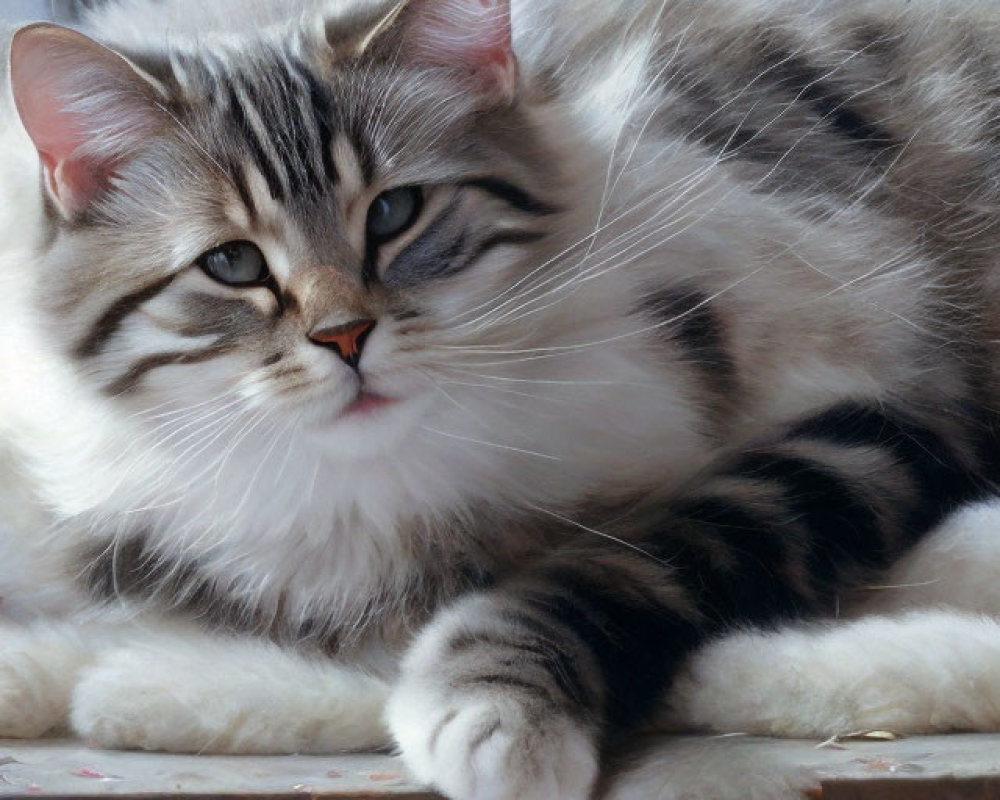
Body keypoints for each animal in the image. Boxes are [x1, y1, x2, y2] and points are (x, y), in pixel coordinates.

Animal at [3, 1, 1000, 800]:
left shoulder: (881, 414)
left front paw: (491, 715)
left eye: (395, 212)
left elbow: (622, 560)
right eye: (234, 263)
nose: (345, 338)